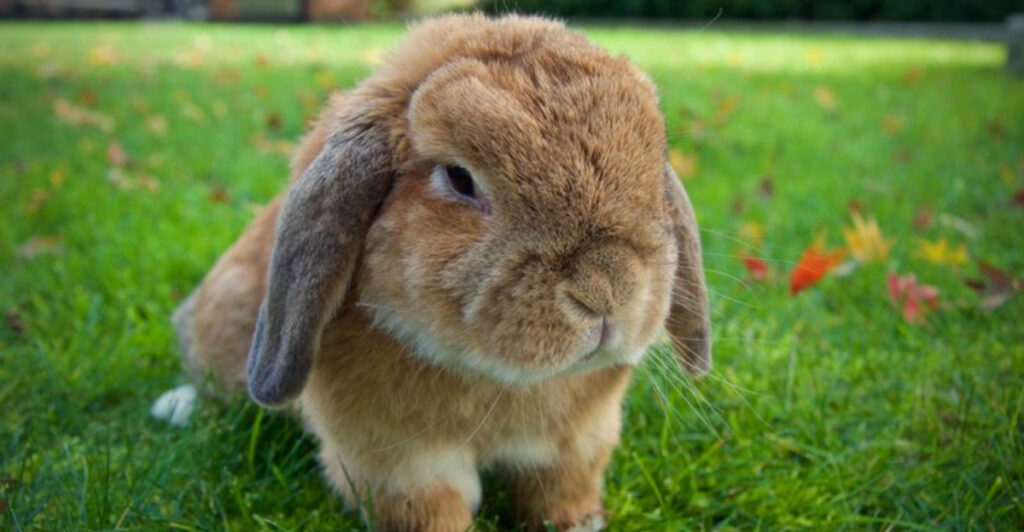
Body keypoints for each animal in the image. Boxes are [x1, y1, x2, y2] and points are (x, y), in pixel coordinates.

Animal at [157, 13, 711, 531]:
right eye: (459, 178)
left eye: (654, 162)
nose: (608, 289)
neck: (497, 380)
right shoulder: (398, 462)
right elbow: (430, 509)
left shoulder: (577, 443)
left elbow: (563, 489)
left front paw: (580, 523)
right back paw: (177, 405)